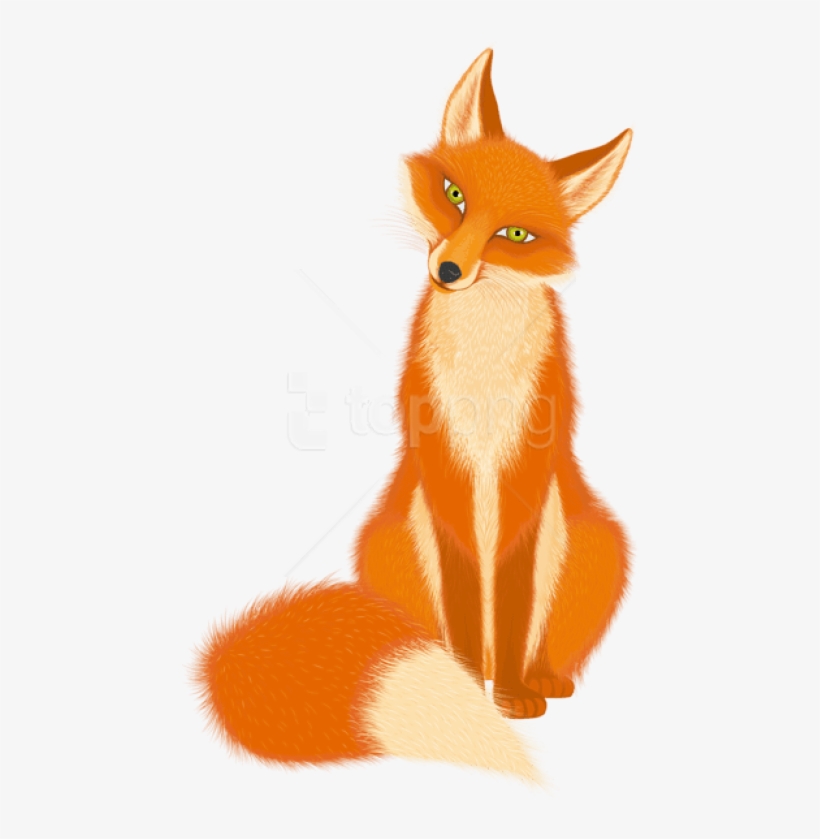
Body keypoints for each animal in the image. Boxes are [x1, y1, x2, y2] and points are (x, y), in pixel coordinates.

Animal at [194, 49, 632, 783]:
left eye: (514, 234)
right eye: (454, 195)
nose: (450, 269)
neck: (482, 374)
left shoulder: (524, 471)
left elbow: (512, 602)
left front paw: (511, 695)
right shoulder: (444, 466)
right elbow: (463, 601)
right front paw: (469, 687)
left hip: (596, 540)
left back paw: (533, 676)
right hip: (390, 536)